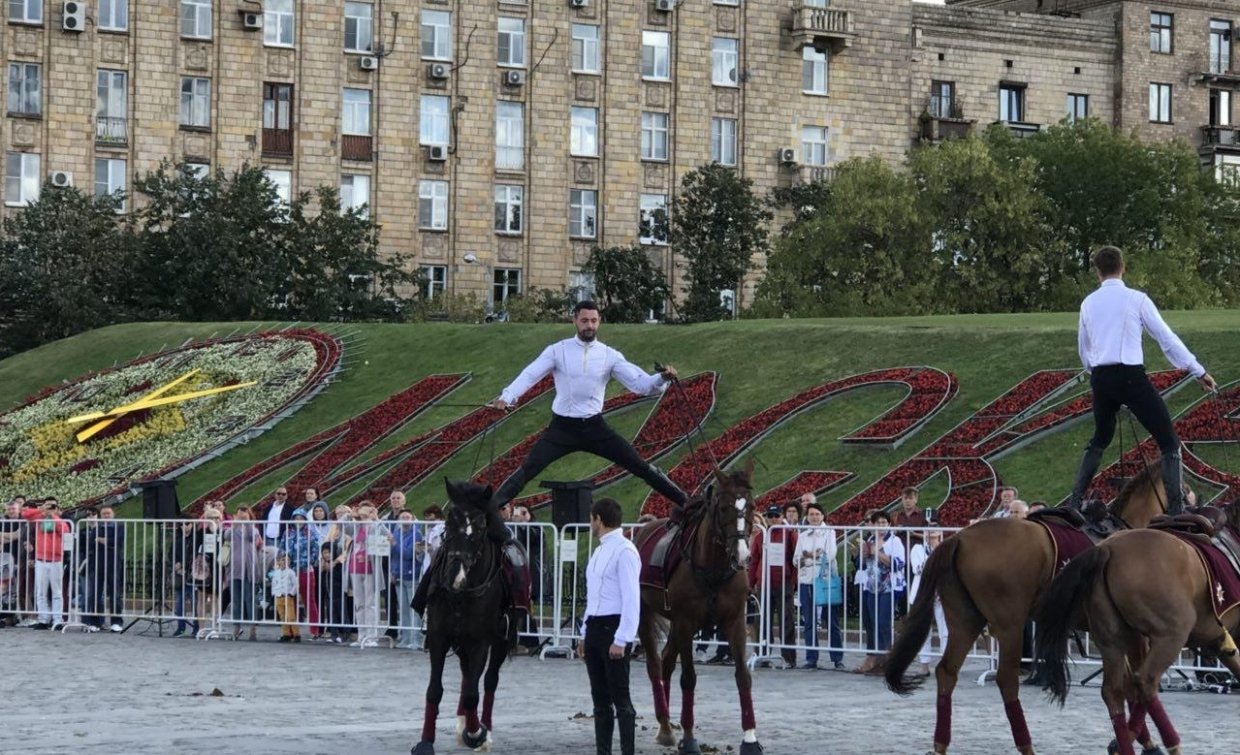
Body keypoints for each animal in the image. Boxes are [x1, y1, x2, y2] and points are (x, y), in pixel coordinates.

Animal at [414, 481, 515, 753]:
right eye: (448, 522)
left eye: (480, 527)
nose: (455, 575)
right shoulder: (439, 638)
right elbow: (434, 690)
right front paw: (426, 741)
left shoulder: (481, 641)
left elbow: (473, 693)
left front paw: (477, 733)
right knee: (466, 674)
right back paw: (463, 723)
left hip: (501, 640)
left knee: (488, 680)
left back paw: (482, 727)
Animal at [634, 458, 758, 753]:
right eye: (723, 507)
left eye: (751, 505)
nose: (743, 556)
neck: (713, 569)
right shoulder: (686, 621)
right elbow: (688, 677)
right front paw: (689, 738)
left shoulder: (734, 620)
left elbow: (742, 675)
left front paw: (750, 738)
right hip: (647, 614)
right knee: (655, 665)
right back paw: (666, 724)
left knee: (667, 661)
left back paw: (666, 725)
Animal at [882, 466, 1170, 753]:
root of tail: (960, 538)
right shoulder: (1132, 633)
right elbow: (1136, 683)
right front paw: (1140, 739)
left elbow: (1127, 683)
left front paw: (1134, 738)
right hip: (1009, 626)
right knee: (1006, 680)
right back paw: (1025, 744)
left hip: (965, 622)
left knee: (947, 672)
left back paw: (940, 743)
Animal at [1036, 500, 1240, 753]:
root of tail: (1107, 549)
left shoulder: (1215, 639)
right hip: (1170, 636)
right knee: (1145, 681)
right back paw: (1169, 744)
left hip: (1112, 640)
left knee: (1115, 691)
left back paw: (1127, 742)